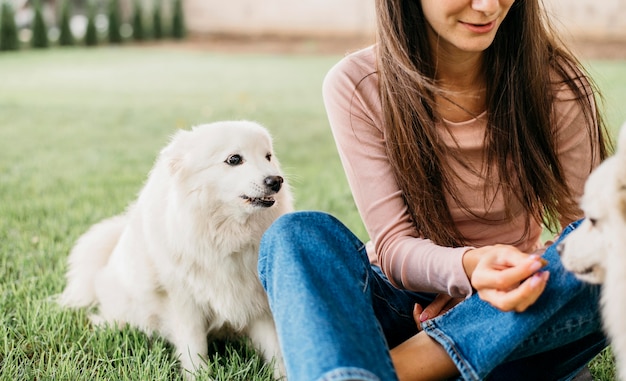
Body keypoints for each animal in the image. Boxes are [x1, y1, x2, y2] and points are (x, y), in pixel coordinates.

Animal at [59, 120, 292, 378]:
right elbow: (194, 349)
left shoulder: (255, 300)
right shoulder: (184, 302)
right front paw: (200, 376)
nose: (276, 181)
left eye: (268, 156)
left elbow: (276, 349)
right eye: (234, 159)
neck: (225, 237)